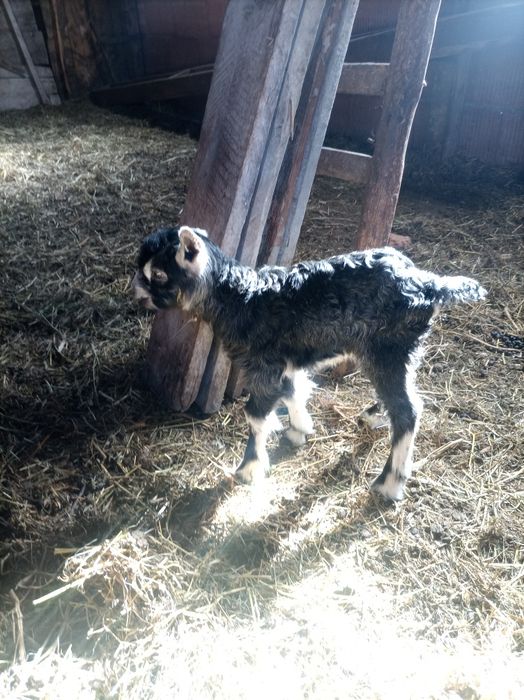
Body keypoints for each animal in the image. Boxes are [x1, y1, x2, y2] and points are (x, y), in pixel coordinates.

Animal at [133, 225, 486, 501]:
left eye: (159, 274)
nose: (138, 292)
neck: (243, 299)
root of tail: (429, 285)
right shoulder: (283, 361)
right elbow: (293, 390)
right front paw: (300, 428)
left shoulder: (263, 366)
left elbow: (256, 415)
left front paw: (248, 469)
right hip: (394, 352)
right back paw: (374, 415)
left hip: (389, 348)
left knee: (407, 411)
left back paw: (389, 483)